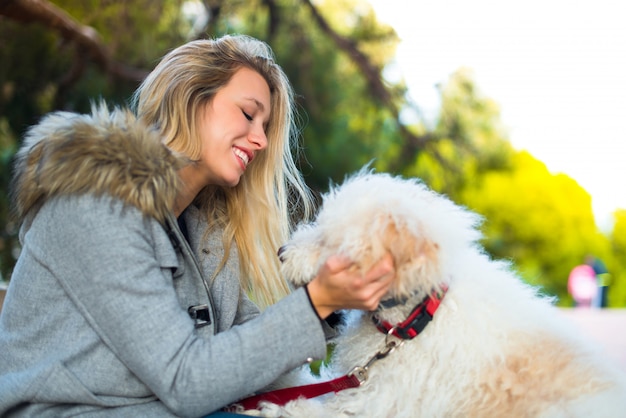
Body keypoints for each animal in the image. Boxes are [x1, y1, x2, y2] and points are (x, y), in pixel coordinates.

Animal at [238, 171, 624, 418]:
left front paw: (275, 407)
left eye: (328, 242)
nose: (281, 253)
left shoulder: (379, 403)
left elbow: (312, 406)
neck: (417, 318)